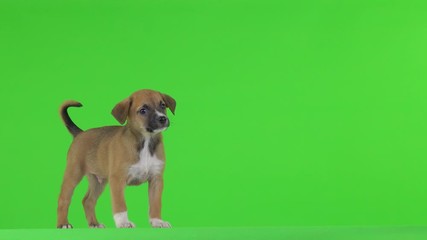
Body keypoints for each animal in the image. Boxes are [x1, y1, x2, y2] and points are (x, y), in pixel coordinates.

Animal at [56, 89, 176, 229]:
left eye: (163, 105)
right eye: (143, 110)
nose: (163, 119)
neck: (145, 141)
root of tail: (80, 133)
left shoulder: (156, 179)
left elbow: (155, 204)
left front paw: (157, 221)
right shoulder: (117, 179)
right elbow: (120, 205)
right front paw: (123, 222)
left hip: (98, 181)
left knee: (88, 201)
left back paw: (94, 224)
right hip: (73, 173)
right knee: (63, 199)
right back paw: (63, 224)